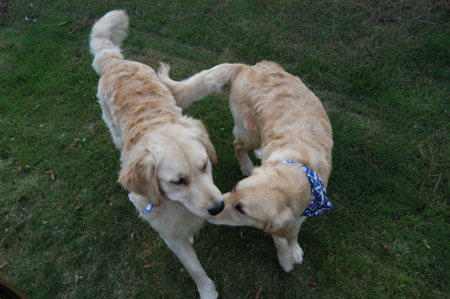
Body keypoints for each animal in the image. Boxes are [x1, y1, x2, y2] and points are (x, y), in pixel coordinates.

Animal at [90, 10, 225, 298]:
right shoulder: (170, 235)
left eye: (205, 166)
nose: (218, 208)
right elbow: (195, 269)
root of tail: (114, 60)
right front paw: (207, 291)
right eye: (178, 181)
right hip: (112, 127)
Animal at [159, 62, 334, 274]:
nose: (216, 208)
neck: (299, 164)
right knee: (237, 143)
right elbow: (279, 237)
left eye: (241, 210)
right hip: (251, 132)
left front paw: (294, 248)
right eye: (235, 189)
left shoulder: (304, 210)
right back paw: (247, 164)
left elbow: (293, 231)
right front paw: (286, 258)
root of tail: (244, 67)